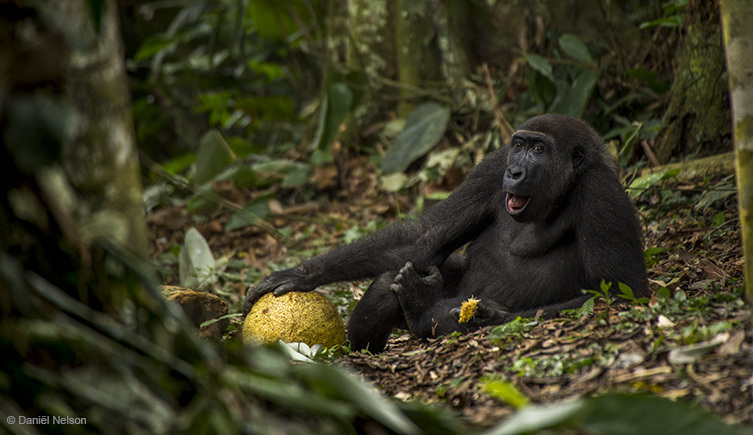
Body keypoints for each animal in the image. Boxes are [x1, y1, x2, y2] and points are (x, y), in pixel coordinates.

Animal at [241, 114, 648, 352]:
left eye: (539, 149)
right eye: (518, 145)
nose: (515, 171)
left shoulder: (600, 192)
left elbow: (620, 291)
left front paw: (489, 316)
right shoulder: (491, 167)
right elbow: (424, 237)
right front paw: (301, 274)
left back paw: (421, 310)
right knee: (398, 271)